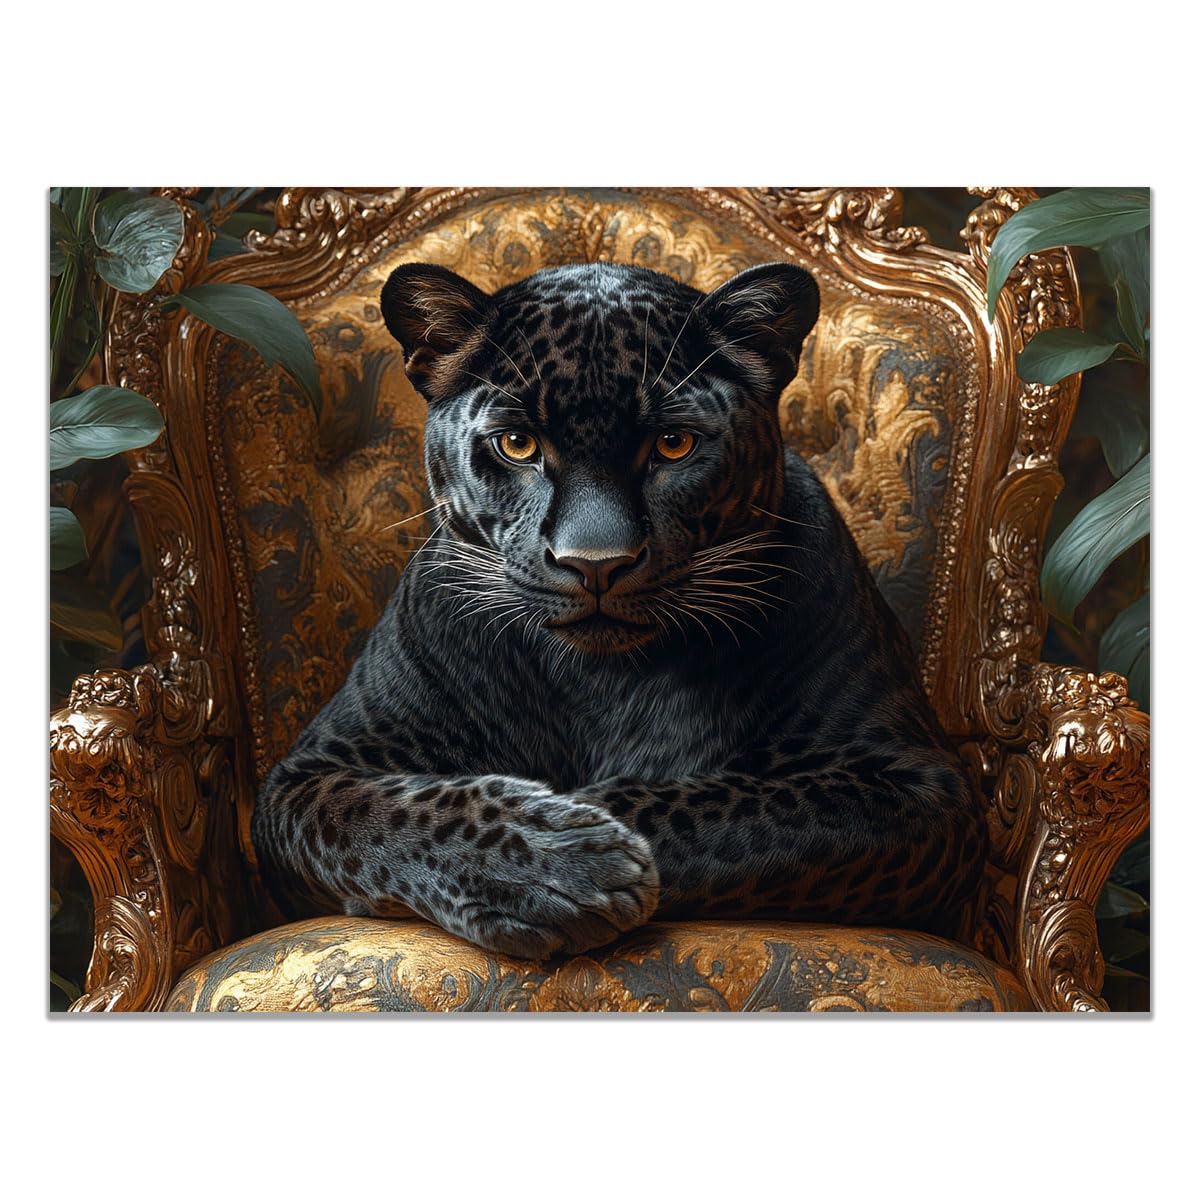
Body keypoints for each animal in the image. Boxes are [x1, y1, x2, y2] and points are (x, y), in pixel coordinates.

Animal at [250, 258, 987, 961]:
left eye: (673, 444)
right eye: (517, 444)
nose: (595, 563)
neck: (599, 681)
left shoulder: (918, 789)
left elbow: (712, 805)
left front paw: (571, 856)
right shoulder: (309, 774)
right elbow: (395, 810)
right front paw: (553, 865)